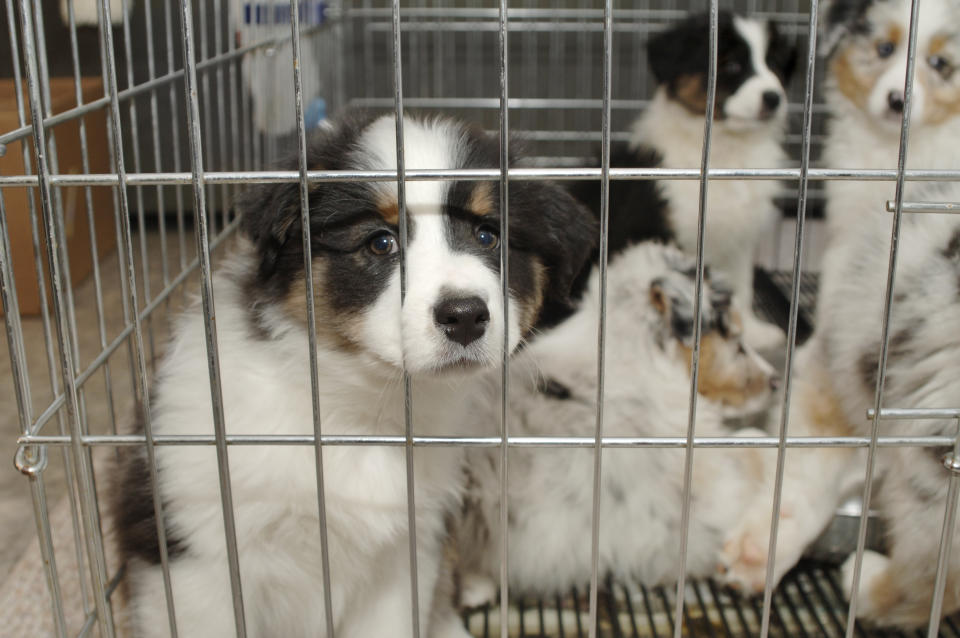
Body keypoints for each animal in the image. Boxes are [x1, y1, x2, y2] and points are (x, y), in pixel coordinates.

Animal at [110, 111, 592, 638]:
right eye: (380, 243)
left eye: (489, 235)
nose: (465, 316)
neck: (358, 412)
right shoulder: (202, 560)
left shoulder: (403, 557)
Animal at [572, 10, 800, 352]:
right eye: (732, 66)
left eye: (773, 64)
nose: (773, 98)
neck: (725, 152)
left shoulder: (739, 240)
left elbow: (742, 287)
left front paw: (753, 332)